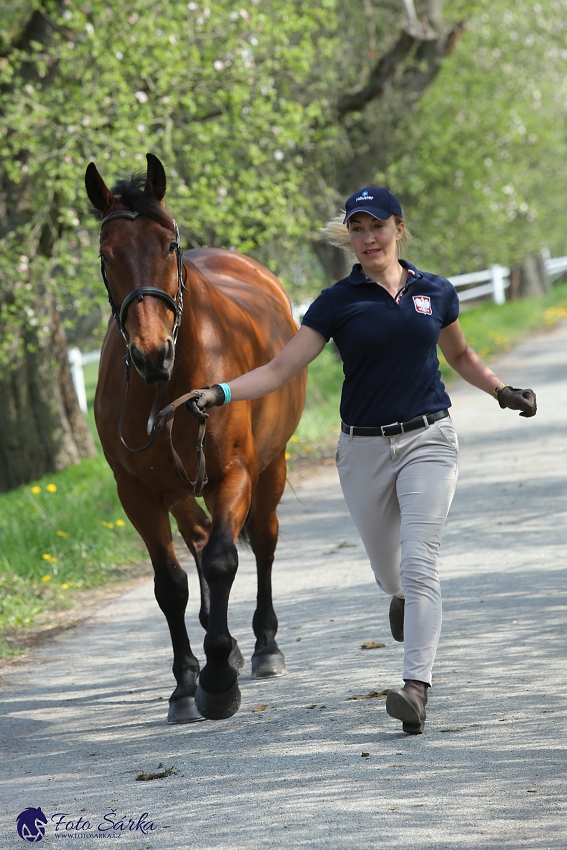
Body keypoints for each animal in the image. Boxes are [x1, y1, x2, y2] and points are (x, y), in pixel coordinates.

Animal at [84, 154, 306, 724]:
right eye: (106, 257)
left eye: (168, 245)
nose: (151, 353)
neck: (173, 383)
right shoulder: (138, 494)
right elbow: (170, 584)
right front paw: (186, 683)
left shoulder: (234, 475)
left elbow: (224, 560)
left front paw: (219, 678)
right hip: (180, 488)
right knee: (200, 540)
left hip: (270, 467)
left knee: (263, 540)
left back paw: (263, 646)